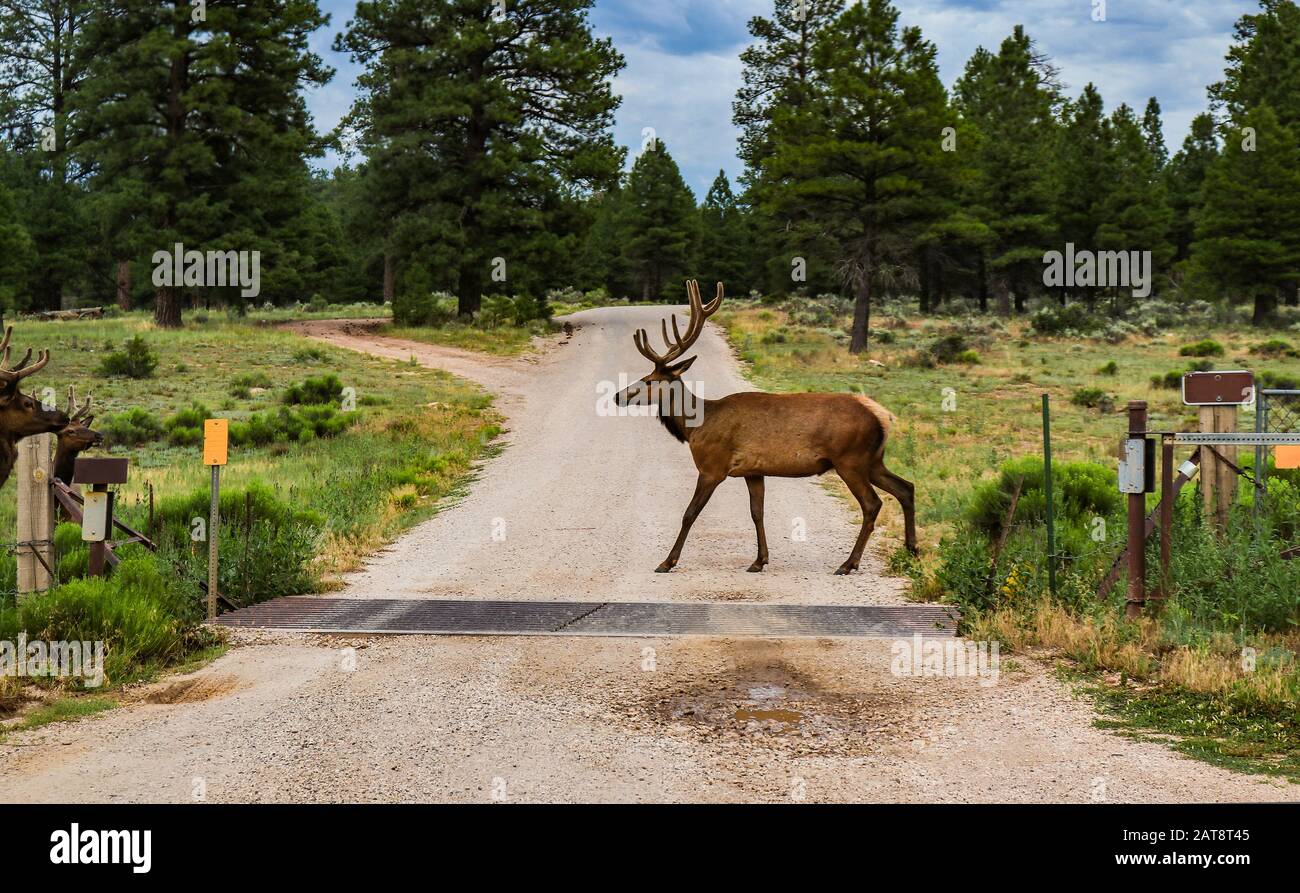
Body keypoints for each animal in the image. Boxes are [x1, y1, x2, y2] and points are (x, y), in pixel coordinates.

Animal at [616, 283, 915, 577]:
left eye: (650, 380)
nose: (619, 395)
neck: (697, 425)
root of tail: (882, 416)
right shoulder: (753, 471)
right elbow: (756, 512)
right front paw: (760, 560)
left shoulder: (712, 466)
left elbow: (690, 513)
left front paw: (667, 562)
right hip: (872, 460)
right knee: (906, 488)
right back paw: (911, 551)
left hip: (850, 459)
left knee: (873, 503)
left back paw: (848, 563)